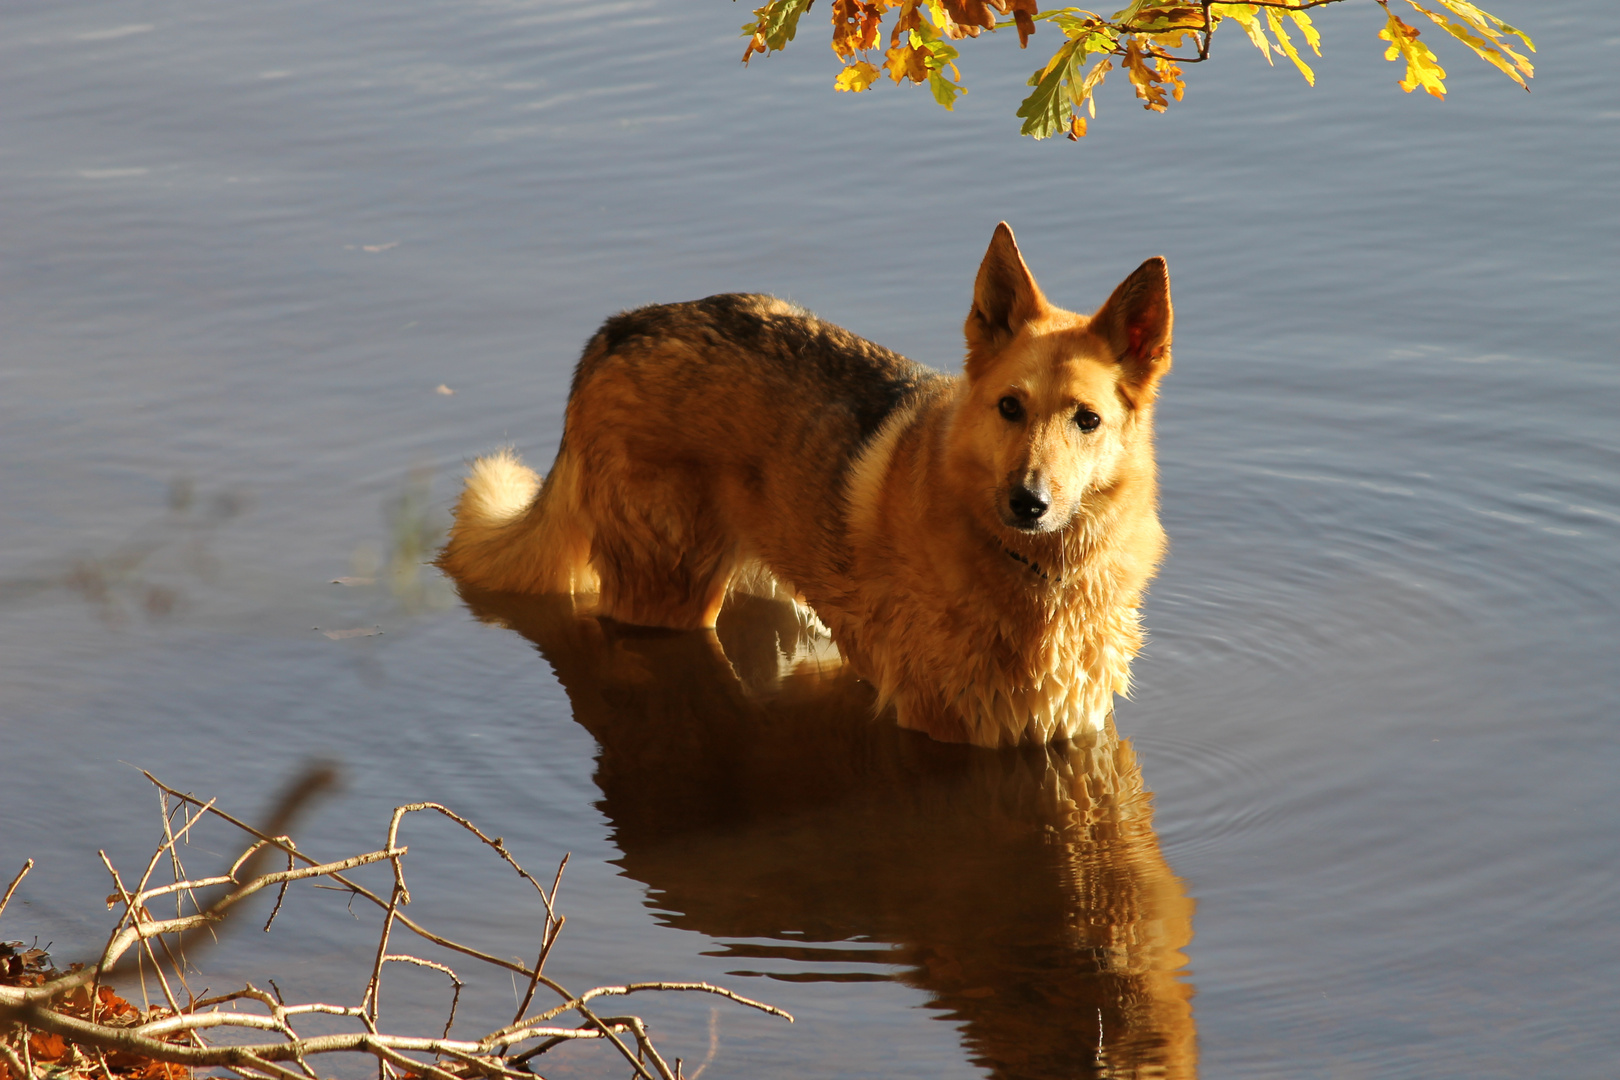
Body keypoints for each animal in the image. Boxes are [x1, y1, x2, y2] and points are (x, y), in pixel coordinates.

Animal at [440, 226, 1179, 751]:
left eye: (1087, 420)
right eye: (1009, 407)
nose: (1028, 503)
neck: (1039, 574)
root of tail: (618, 328)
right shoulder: (949, 727)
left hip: (779, 602)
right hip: (671, 589)